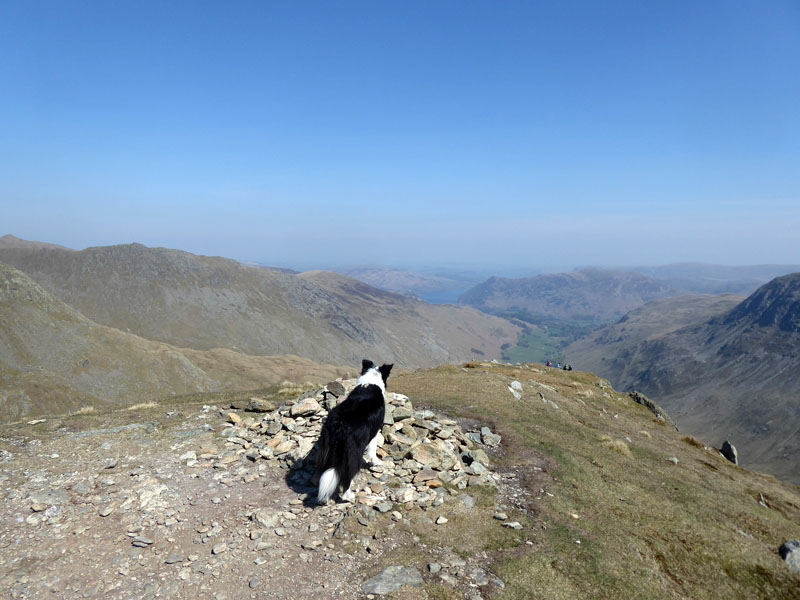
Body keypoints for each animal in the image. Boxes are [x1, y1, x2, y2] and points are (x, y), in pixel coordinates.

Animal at [318, 360, 396, 502]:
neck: (371, 382)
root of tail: (339, 423)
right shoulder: (375, 430)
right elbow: (373, 450)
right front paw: (376, 462)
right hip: (353, 450)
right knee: (347, 476)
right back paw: (348, 496)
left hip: (326, 446)